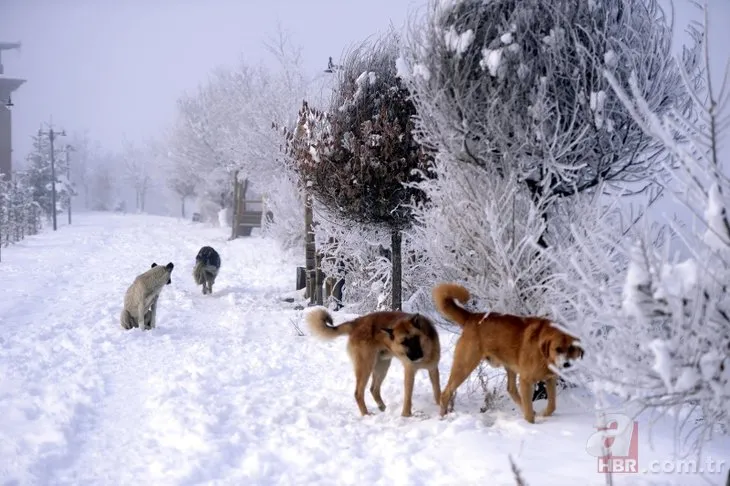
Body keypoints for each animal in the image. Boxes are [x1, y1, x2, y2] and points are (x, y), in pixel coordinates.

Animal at [306, 308, 440, 418]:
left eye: (415, 338)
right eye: (403, 342)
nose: (417, 356)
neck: (426, 351)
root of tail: (356, 322)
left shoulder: (433, 369)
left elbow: (437, 390)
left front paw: (441, 407)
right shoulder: (409, 372)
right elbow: (408, 397)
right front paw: (406, 416)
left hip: (382, 366)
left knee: (373, 389)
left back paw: (382, 407)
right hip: (366, 366)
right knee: (358, 393)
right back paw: (366, 414)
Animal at [432, 282, 580, 424]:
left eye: (572, 348)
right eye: (558, 349)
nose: (567, 364)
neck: (544, 355)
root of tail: (471, 316)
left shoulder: (550, 379)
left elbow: (552, 405)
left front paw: (543, 414)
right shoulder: (526, 381)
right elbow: (529, 411)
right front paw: (530, 425)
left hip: (509, 367)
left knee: (511, 389)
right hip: (464, 365)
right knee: (445, 393)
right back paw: (442, 417)